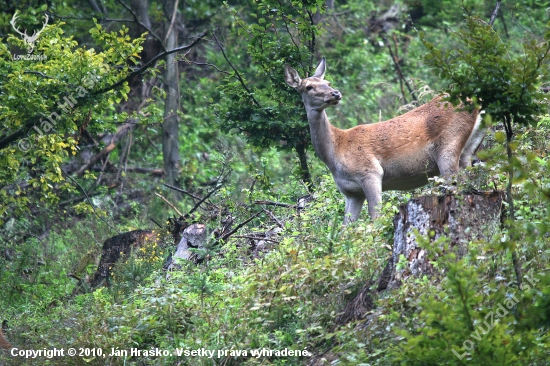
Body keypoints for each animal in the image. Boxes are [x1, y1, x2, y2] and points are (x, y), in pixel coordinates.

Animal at [284, 57, 488, 224]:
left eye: (327, 82)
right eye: (309, 87)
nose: (335, 93)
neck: (334, 150)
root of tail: (478, 102)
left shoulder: (370, 172)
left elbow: (375, 217)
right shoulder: (351, 193)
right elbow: (346, 229)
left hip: (448, 146)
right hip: (468, 150)